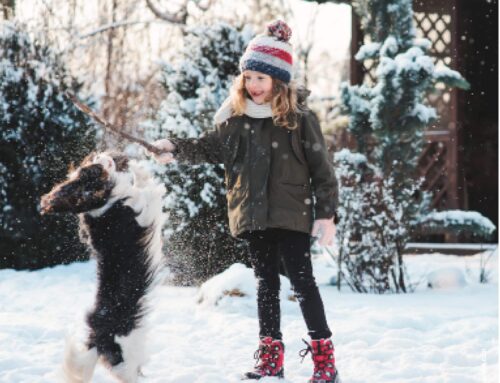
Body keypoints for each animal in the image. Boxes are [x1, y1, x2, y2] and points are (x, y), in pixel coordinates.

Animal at [41, 152, 166, 383]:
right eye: (93, 171)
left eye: (90, 165)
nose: (101, 154)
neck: (103, 205)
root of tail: (96, 341)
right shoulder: (142, 212)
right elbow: (146, 189)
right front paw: (141, 171)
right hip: (126, 351)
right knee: (127, 373)